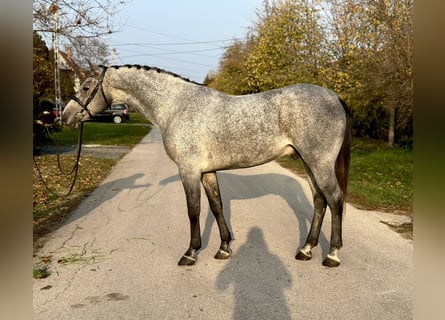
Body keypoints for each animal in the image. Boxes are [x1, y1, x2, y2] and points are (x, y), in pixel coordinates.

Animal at [62, 65, 352, 268]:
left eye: (86, 87)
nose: (66, 117)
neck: (176, 106)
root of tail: (335, 97)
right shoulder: (207, 172)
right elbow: (216, 205)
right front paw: (224, 248)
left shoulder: (189, 171)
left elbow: (194, 210)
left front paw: (191, 253)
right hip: (308, 162)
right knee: (319, 200)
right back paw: (306, 250)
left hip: (318, 162)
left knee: (335, 199)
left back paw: (332, 255)